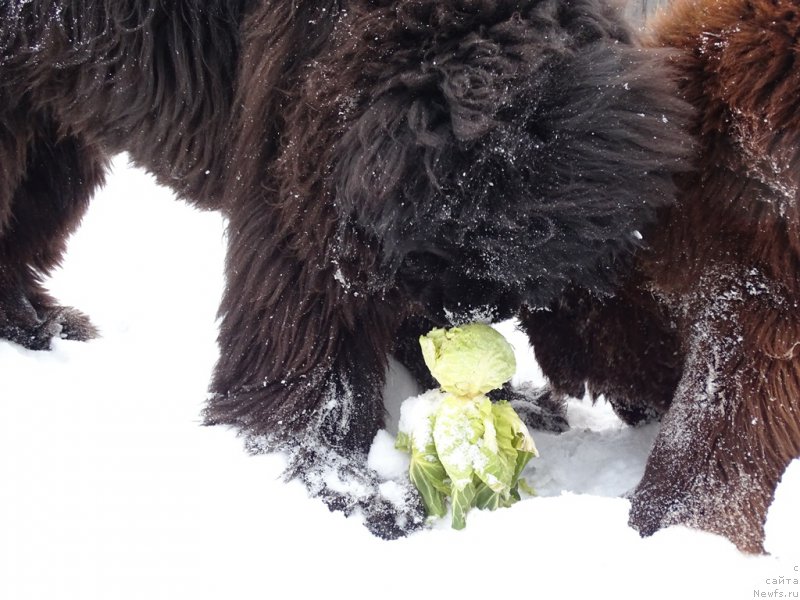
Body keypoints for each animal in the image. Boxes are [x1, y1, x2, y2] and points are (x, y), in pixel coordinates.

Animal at [0, 0, 688, 536]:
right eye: (462, 241)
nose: (475, 314)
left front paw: (499, 396)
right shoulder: (308, 172)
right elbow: (310, 342)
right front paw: (346, 485)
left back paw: (39, 322)